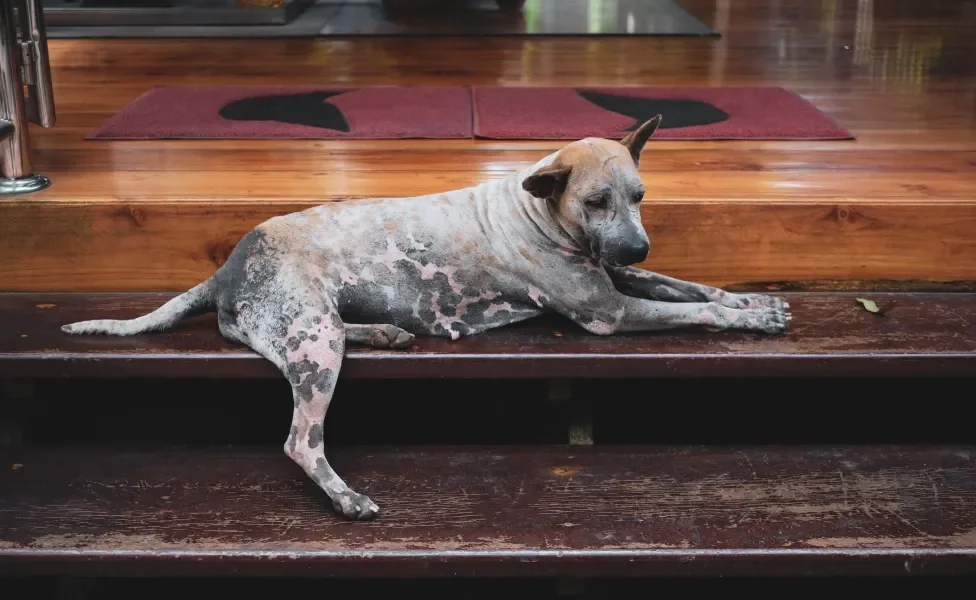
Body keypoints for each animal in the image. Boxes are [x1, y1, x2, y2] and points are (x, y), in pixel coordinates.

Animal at [63, 117, 784, 520]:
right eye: (596, 200)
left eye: (639, 195)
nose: (637, 246)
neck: (539, 210)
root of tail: (225, 269)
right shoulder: (607, 310)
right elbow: (691, 311)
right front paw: (746, 320)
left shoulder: (620, 278)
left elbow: (693, 289)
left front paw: (752, 302)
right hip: (313, 343)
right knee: (302, 440)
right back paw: (345, 497)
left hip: (317, 329)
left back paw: (386, 332)